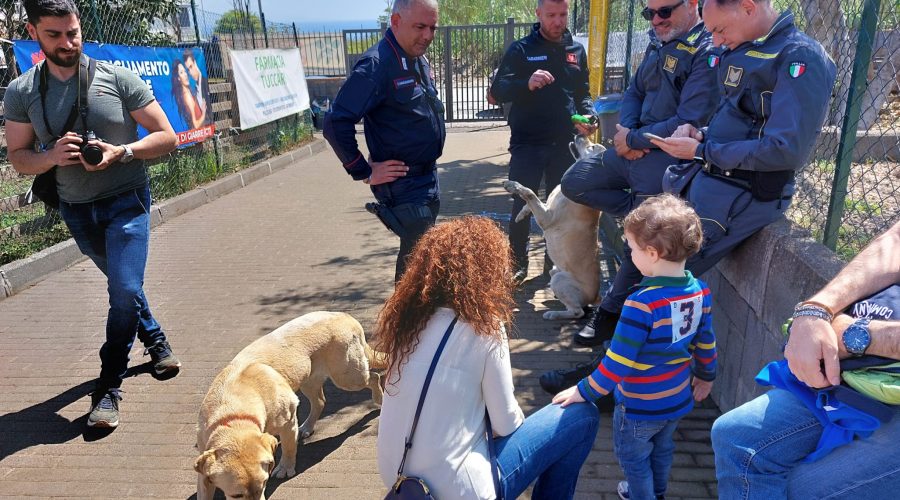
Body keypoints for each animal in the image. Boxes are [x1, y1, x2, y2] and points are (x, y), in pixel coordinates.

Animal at [195, 312, 384, 500]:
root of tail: (345, 316)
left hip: (348, 377)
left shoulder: (289, 420)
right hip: (309, 379)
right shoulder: (203, 471)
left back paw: (379, 398)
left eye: (264, 484)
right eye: (236, 495)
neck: (233, 414)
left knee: (374, 377)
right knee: (320, 401)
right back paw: (307, 427)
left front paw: (285, 468)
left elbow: (288, 447)